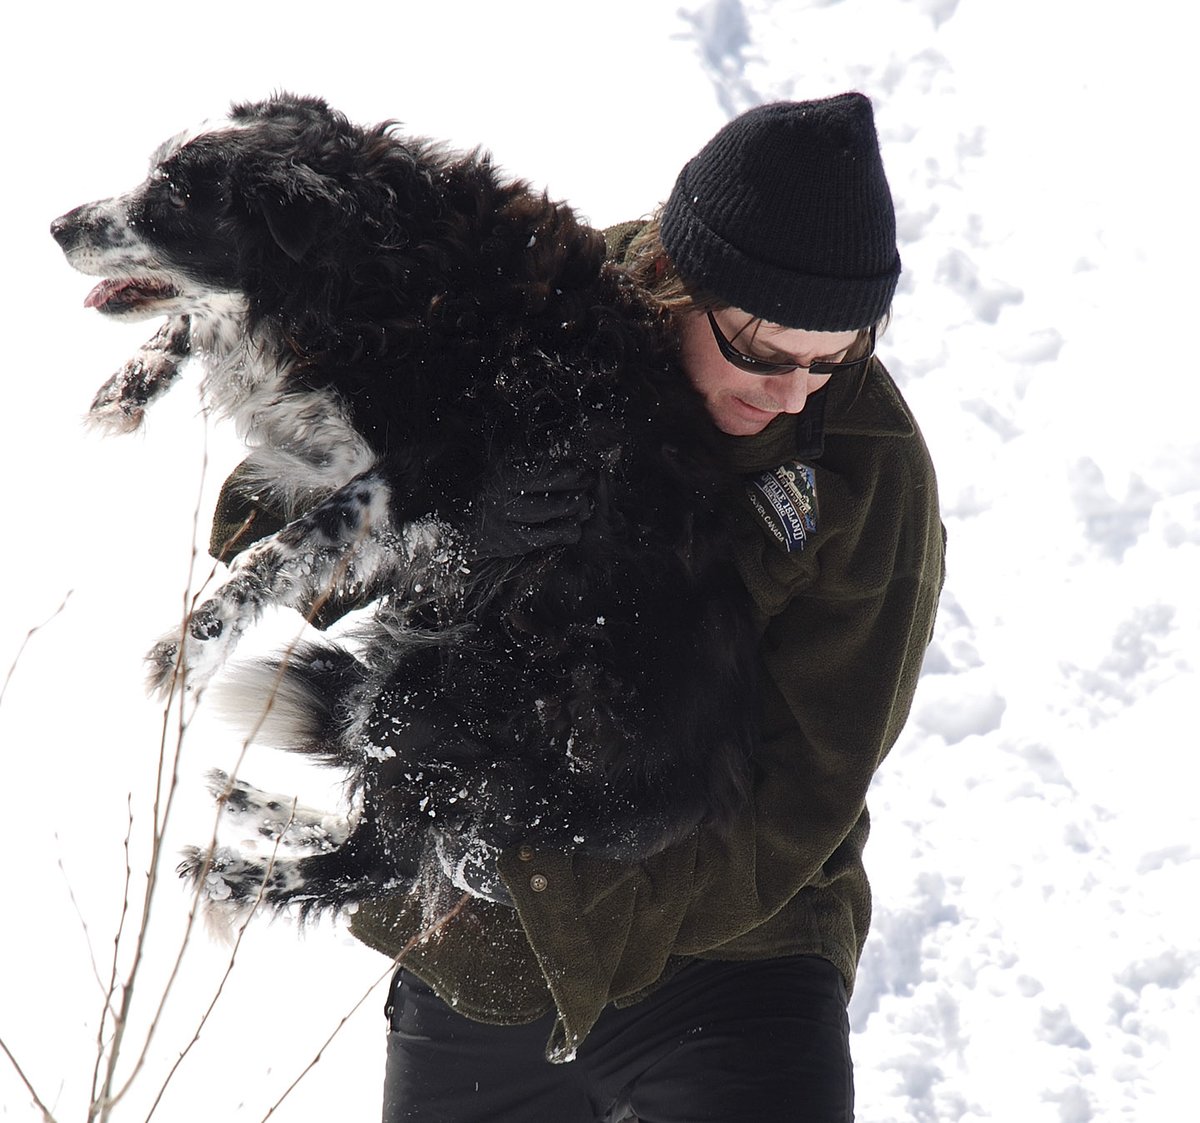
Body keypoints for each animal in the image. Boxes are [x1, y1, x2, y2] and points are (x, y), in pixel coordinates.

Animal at [54, 96, 758, 921]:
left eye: (171, 197)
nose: (59, 226)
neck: (381, 268)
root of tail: (699, 792)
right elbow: (198, 331)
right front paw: (129, 385)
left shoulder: (434, 473)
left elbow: (291, 544)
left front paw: (191, 643)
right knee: (383, 822)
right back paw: (251, 806)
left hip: (438, 694)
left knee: (380, 858)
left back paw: (230, 870)